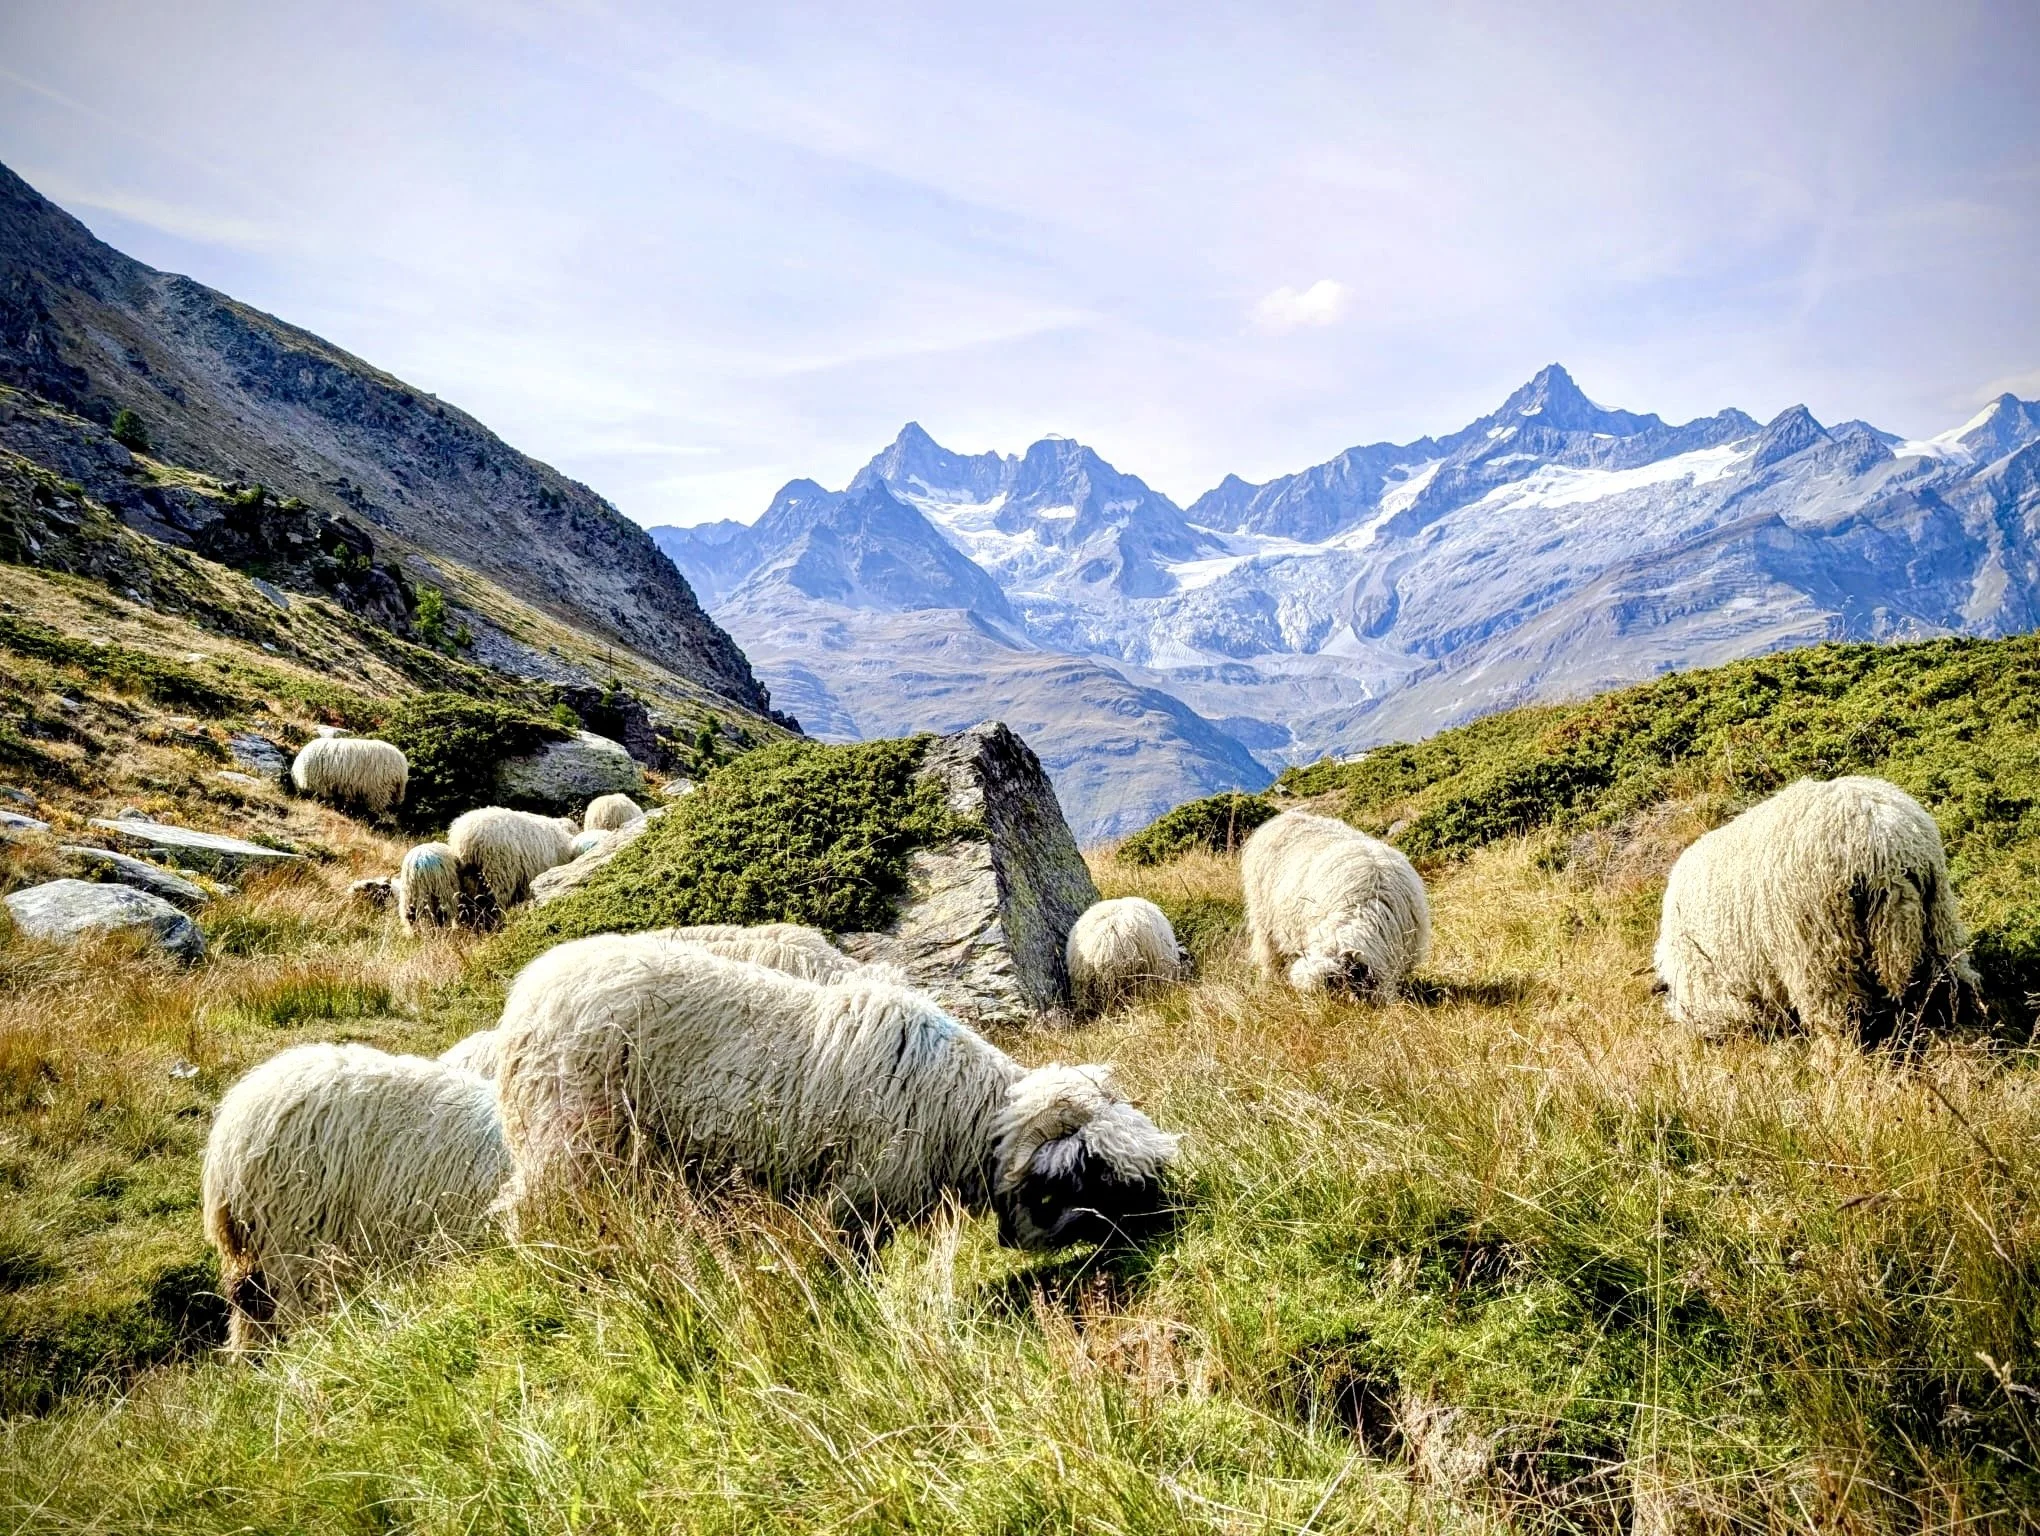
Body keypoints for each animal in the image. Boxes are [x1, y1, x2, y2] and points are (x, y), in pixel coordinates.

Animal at [492, 935, 1179, 1249]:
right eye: (1101, 1178)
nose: (1172, 1226)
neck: (961, 1111)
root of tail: (529, 988)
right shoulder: (856, 1200)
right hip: (567, 1138)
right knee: (532, 1212)